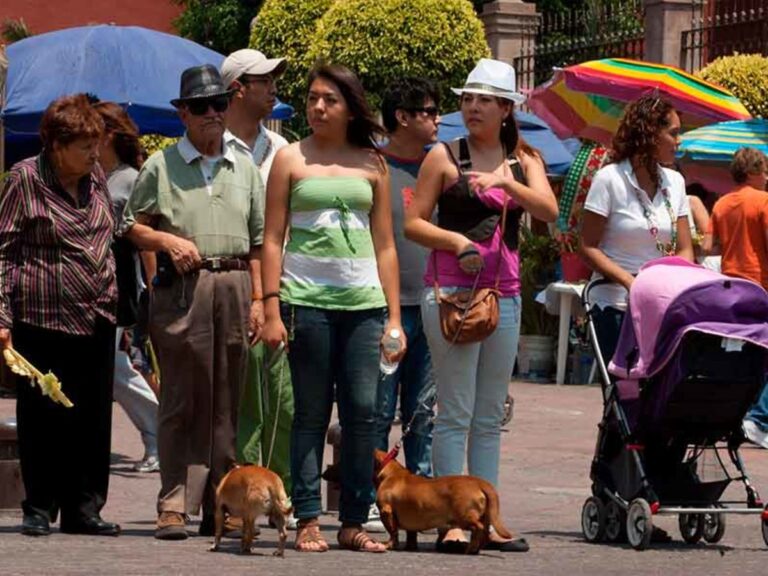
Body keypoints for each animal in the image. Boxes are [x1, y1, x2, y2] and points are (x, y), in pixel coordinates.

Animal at [373, 449, 512, 554]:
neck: (393, 473)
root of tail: (479, 482)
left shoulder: (386, 512)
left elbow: (393, 532)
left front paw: (389, 545)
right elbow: (411, 535)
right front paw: (410, 547)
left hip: (464, 517)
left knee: (479, 528)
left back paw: (470, 549)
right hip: (485, 516)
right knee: (485, 531)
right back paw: (476, 548)